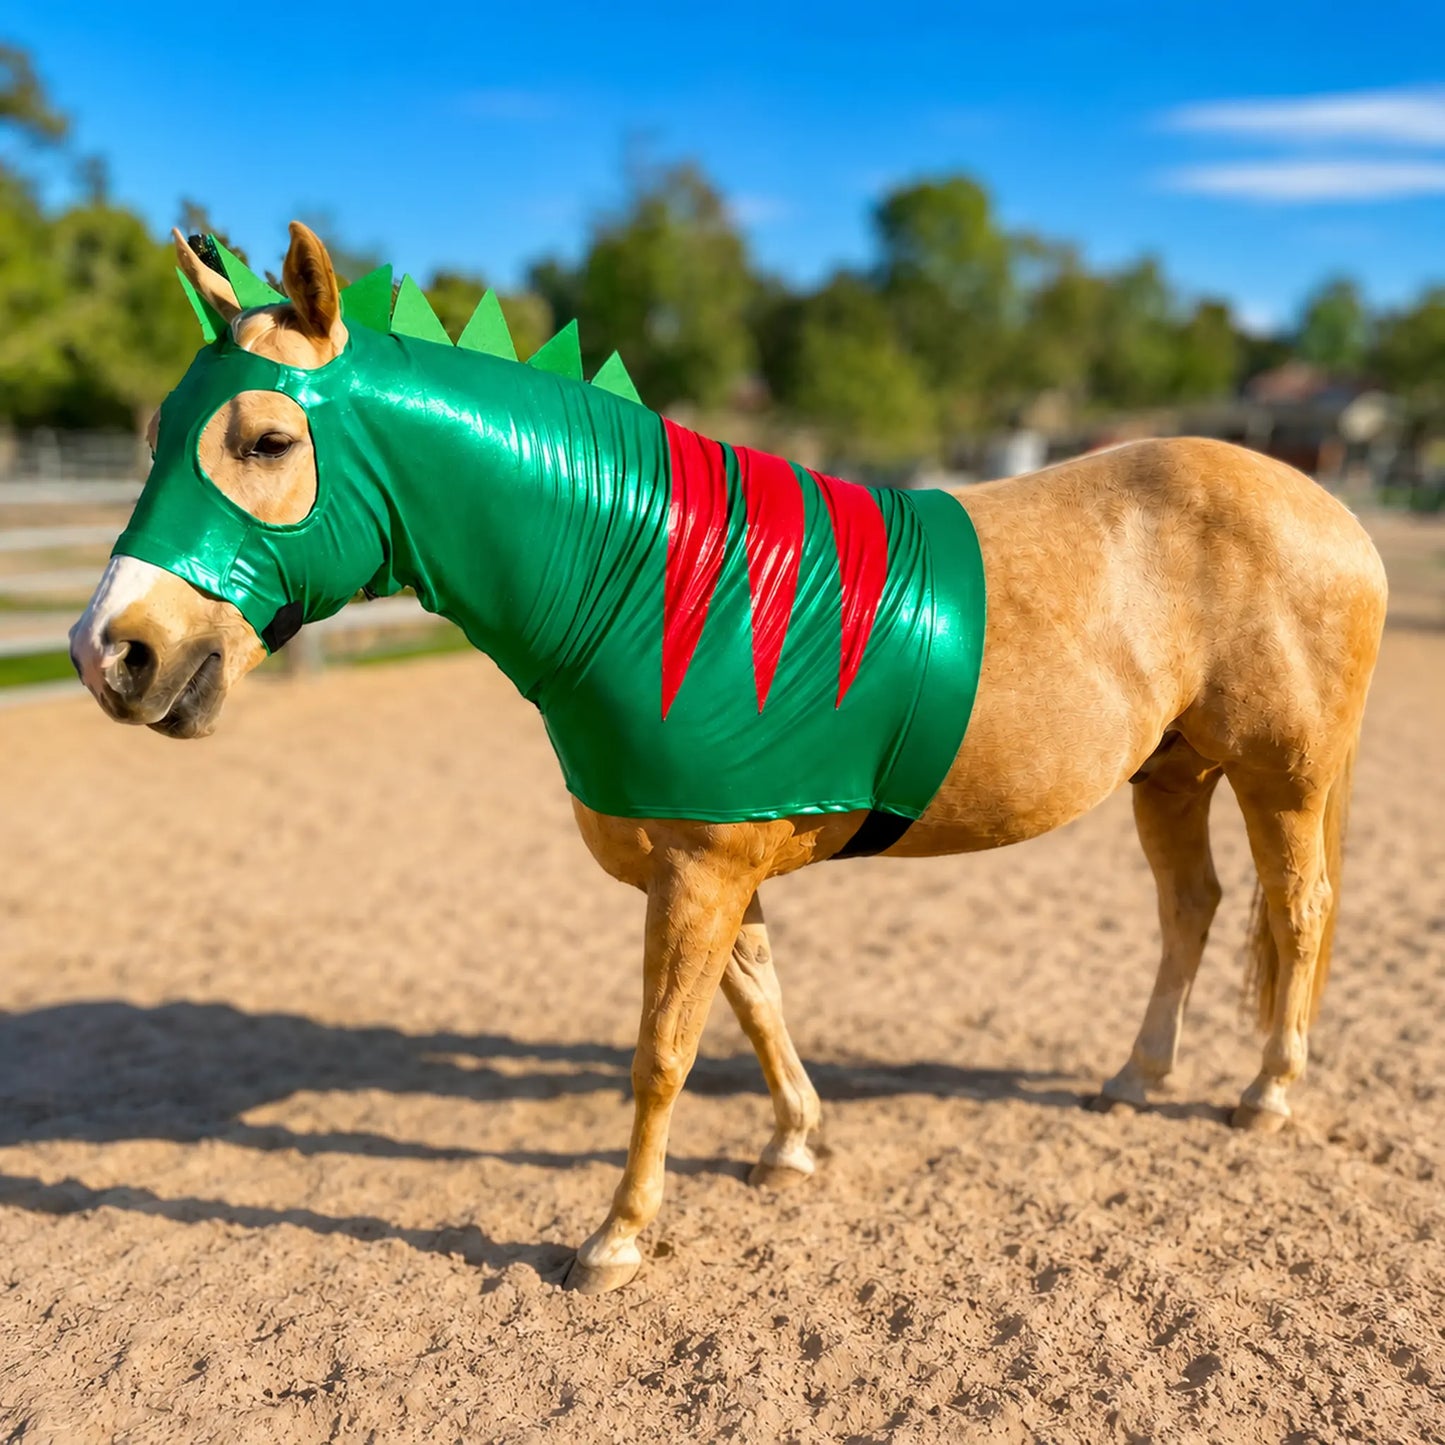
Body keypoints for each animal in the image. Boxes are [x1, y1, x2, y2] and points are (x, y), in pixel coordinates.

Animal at [70, 223, 1388, 1294]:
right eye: (158, 434)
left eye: (264, 438)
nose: (112, 650)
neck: (651, 583)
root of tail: (1335, 514)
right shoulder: (713, 862)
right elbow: (754, 1008)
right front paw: (794, 1142)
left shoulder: (700, 866)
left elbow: (662, 1051)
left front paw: (615, 1237)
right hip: (1170, 770)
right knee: (1191, 907)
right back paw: (1135, 1074)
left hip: (1279, 775)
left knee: (1298, 907)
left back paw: (1265, 1091)